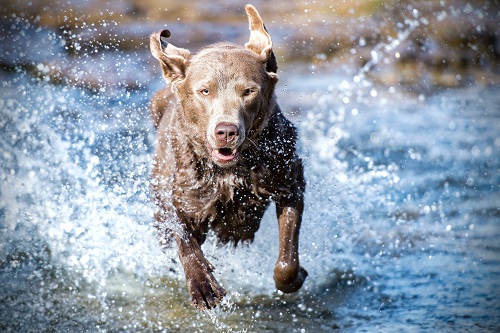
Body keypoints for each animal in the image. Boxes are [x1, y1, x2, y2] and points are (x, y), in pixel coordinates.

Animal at [148, 3, 306, 308]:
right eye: (204, 90)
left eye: (248, 91)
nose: (226, 131)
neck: (230, 171)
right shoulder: (183, 192)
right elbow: (184, 237)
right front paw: (202, 285)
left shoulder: (288, 180)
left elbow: (287, 259)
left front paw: (294, 277)